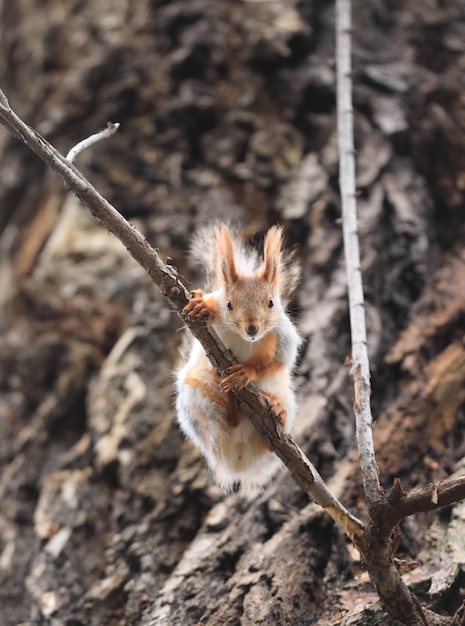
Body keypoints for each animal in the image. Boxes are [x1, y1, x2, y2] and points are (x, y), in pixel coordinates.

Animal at [175, 224, 300, 492]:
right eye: (229, 304)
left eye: (271, 302)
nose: (252, 328)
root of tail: (238, 461)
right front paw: (201, 305)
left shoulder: (283, 338)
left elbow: (277, 363)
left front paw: (246, 372)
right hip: (195, 396)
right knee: (227, 421)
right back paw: (228, 400)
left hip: (287, 401)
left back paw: (276, 409)